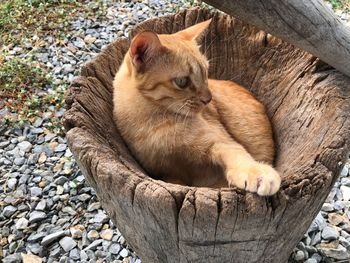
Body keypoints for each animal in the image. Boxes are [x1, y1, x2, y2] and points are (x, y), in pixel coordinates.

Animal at [113, 19, 282, 196]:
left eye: (206, 73)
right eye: (182, 81)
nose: (208, 99)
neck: (153, 122)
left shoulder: (219, 142)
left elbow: (237, 154)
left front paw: (257, 173)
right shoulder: (165, 171)